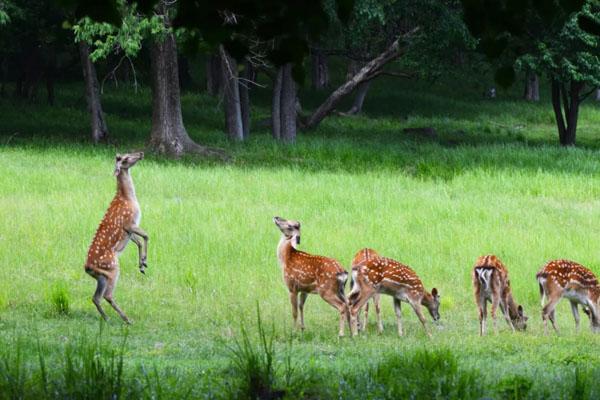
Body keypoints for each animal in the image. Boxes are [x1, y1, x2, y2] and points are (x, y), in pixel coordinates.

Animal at [84, 152, 149, 324]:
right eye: (125, 158)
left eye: (130, 152)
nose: (141, 153)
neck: (128, 198)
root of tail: (87, 268)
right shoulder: (129, 223)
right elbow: (146, 235)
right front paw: (144, 261)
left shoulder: (129, 231)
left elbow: (139, 241)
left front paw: (142, 265)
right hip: (113, 267)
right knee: (107, 295)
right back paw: (126, 319)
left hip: (101, 276)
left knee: (95, 297)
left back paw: (106, 318)